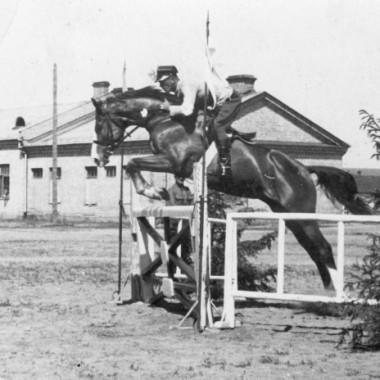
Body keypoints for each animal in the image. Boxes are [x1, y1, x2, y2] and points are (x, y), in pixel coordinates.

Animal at [92, 86, 374, 290]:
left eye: (98, 124)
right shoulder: (175, 166)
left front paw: (151, 191)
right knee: (313, 249)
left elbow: (132, 163)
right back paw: (327, 291)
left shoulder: (175, 162)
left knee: (323, 248)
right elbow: (133, 164)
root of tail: (304, 169)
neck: (166, 120)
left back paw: (335, 295)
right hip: (290, 216)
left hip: (302, 214)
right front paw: (153, 191)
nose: (98, 158)